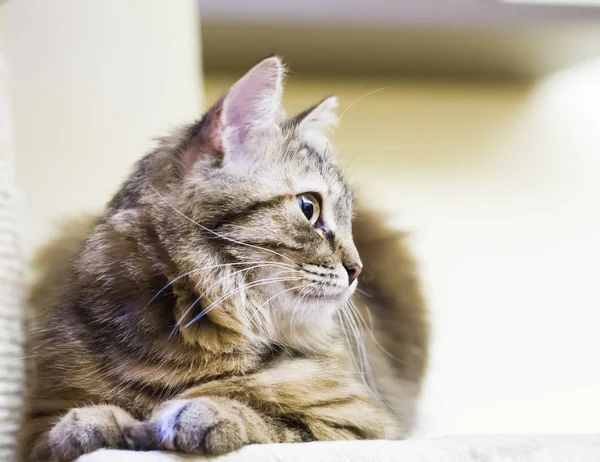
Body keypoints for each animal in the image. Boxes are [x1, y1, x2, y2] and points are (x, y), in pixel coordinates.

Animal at [21, 57, 428, 462]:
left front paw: (197, 414)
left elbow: (270, 422)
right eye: (308, 207)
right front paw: (99, 423)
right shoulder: (35, 422)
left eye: (348, 221)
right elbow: (63, 432)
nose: (357, 269)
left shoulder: (359, 423)